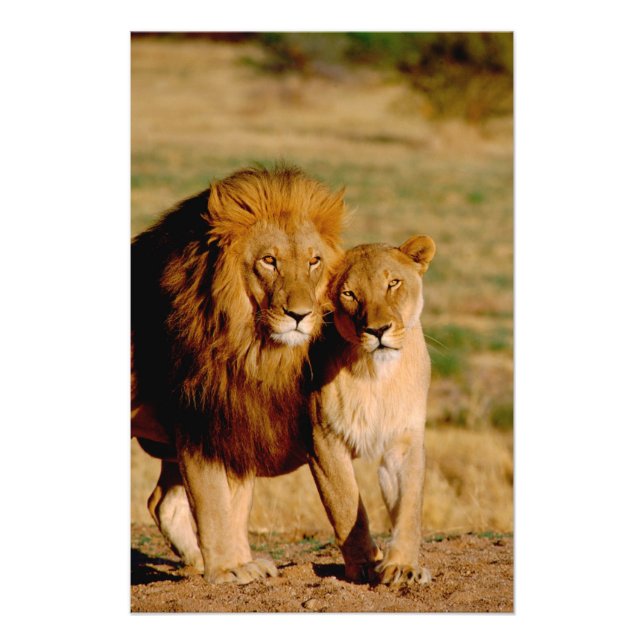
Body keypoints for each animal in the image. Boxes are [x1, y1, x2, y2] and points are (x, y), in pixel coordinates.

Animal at [131, 165, 345, 584]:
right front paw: (228, 569)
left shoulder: (238, 413)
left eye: (313, 261)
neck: (250, 346)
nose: (300, 315)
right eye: (269, 260)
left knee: (161, 502)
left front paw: (242, 561)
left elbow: (238, 501)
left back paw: (195, 560)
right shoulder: (199, 415)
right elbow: (214, 500)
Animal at [308, 236, 436, 585]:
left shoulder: (404, 439)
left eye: (393, 283)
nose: (378, 331)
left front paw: (402, 566)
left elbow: (409, 507)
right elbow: (346, 503)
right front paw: (364, 563)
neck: (377, 376)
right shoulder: (323, 441)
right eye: (350, 294)